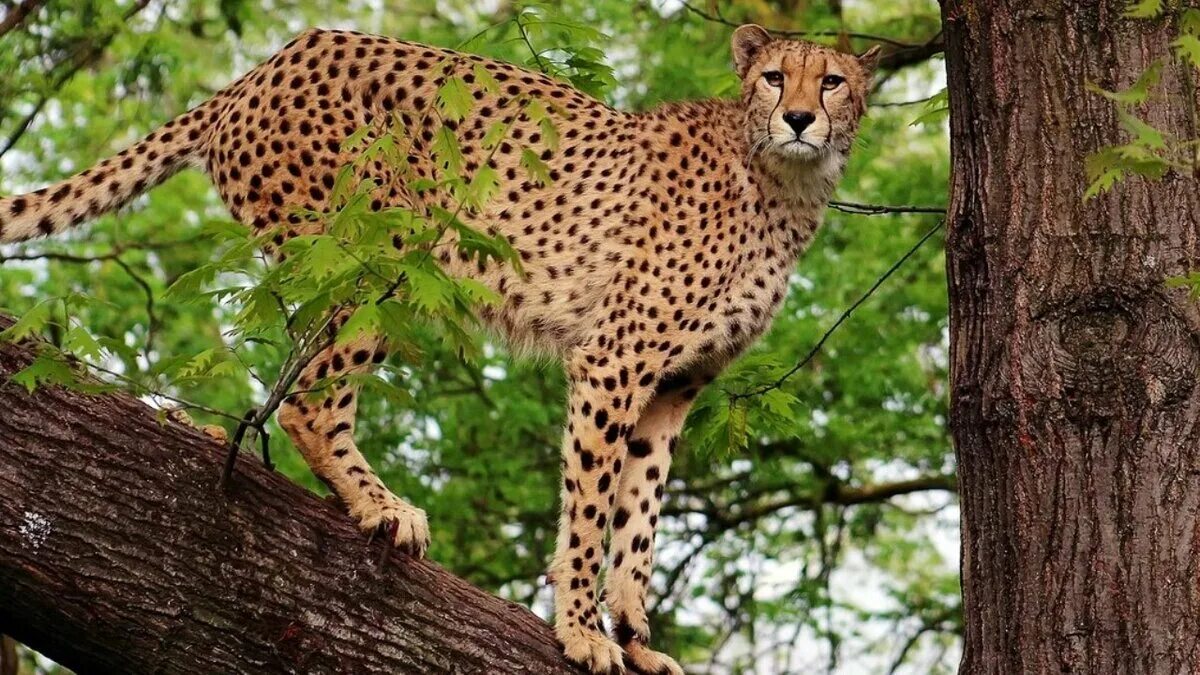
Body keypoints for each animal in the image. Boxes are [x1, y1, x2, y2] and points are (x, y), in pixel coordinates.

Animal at [0, 23, 877, 674]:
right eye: (775, 78)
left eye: (832, 81)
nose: (802, 118)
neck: (783, 183)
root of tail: (270, 62)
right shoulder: (614, 360)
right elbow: (592, 508)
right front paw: (582, 629)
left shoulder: (675, 386)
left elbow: (640, 517)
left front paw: (636, 634)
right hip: (382, 257)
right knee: (313, 400)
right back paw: (381, 505)